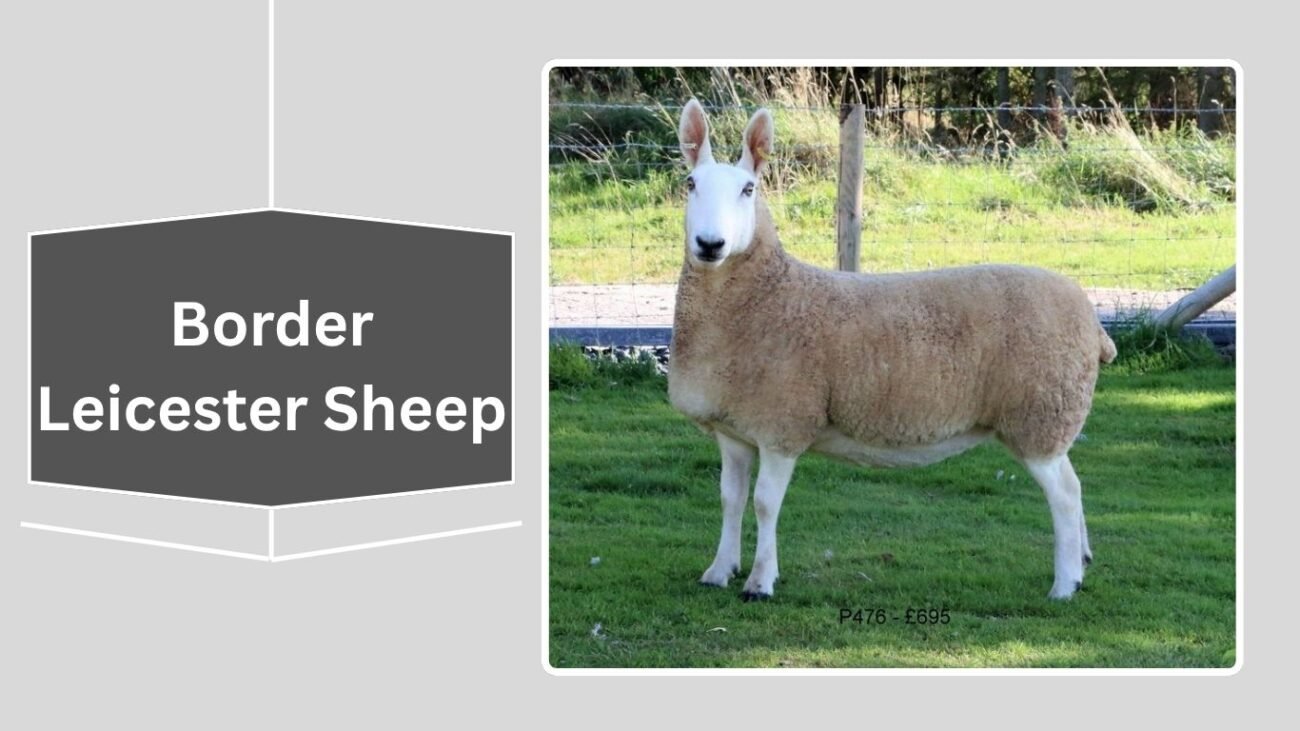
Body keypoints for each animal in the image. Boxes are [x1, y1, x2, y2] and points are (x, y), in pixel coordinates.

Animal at [668, 99, 1117, 602]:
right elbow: (730, 499)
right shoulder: (735, 428)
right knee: (1074, 485)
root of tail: (1091, 319)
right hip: (1048, 417)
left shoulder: (784, 423)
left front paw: (761, 581)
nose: (710, 244)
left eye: (749, 189)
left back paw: (1065, 583)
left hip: (1040, 414)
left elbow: (765, 504)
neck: (766, 295)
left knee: (1065, 494)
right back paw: (1082, 560)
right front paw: (719, 570)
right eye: (690, 184)